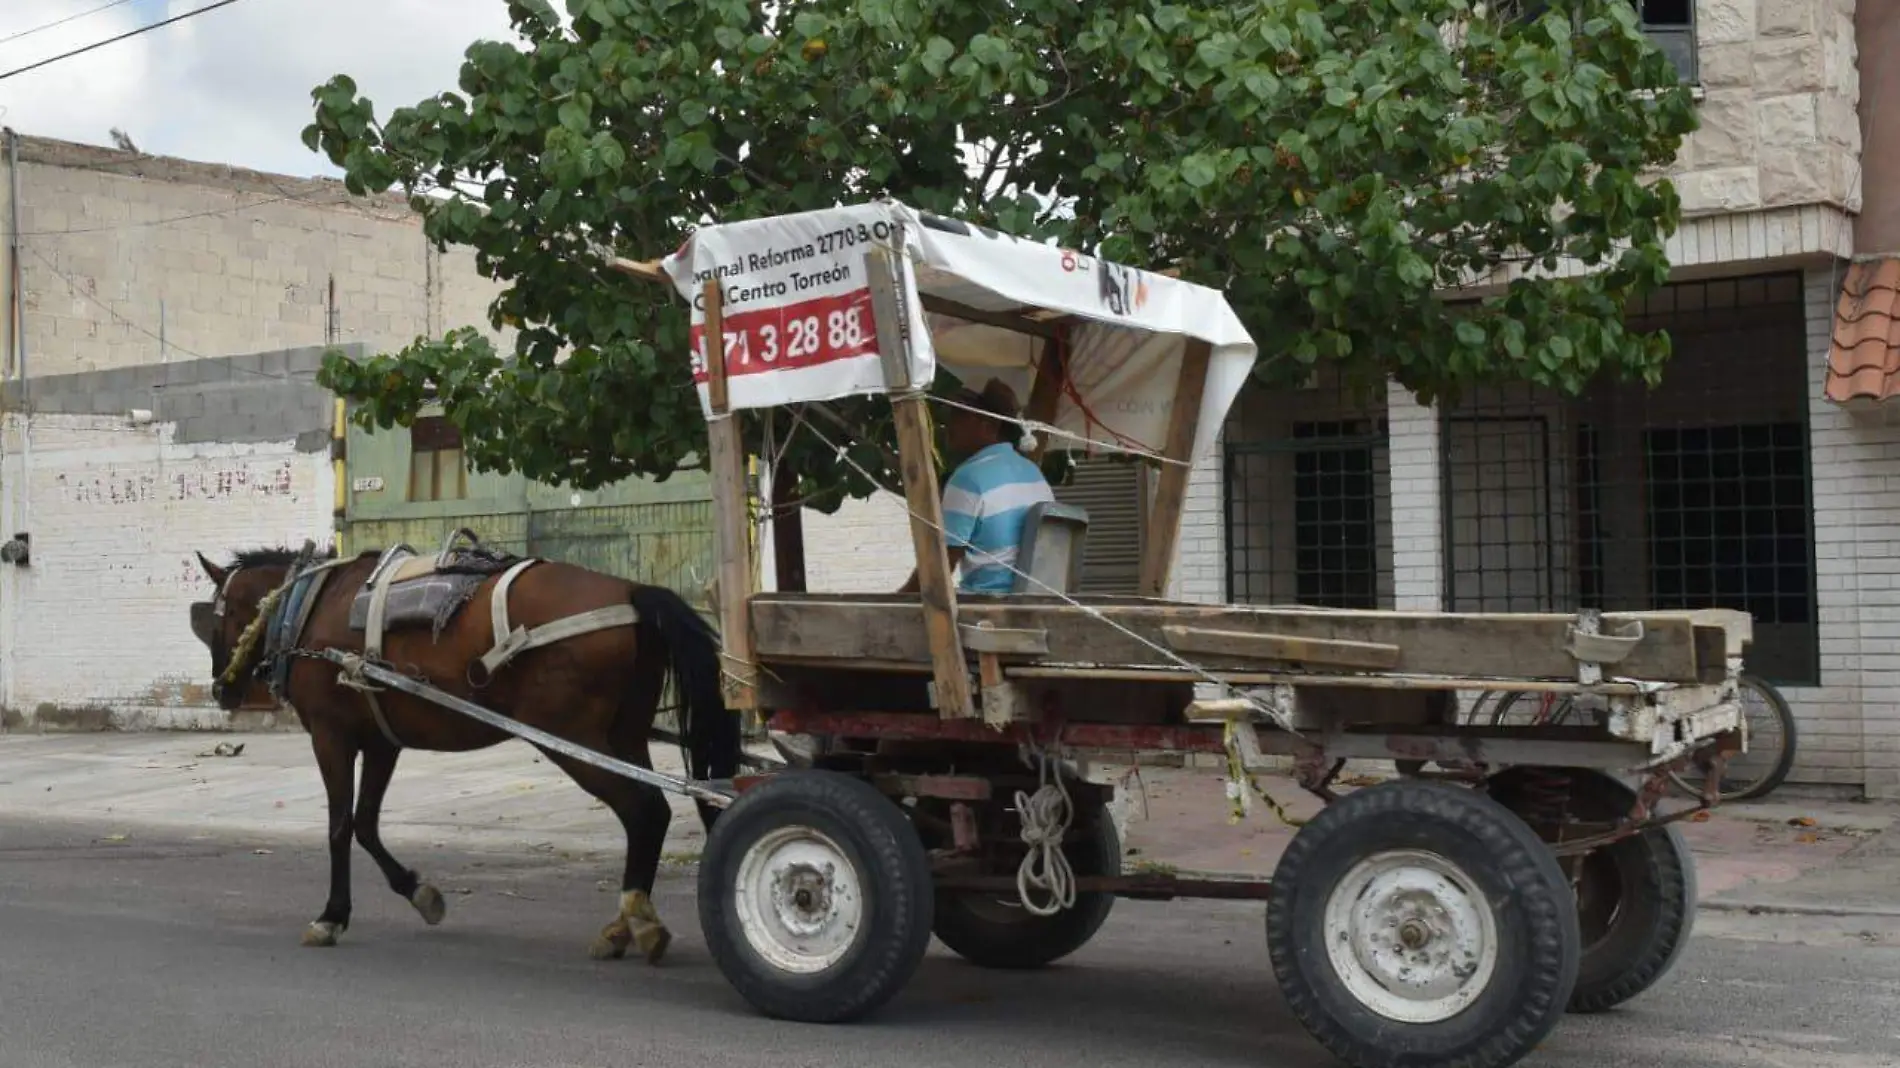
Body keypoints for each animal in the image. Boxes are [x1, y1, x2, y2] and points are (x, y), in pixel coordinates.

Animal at [181, 535, 737, 961]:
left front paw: (331, 917)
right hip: (622, 737)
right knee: (654, 811)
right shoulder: (381, 741)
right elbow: (366, 824)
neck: (311, 604)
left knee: (643, 811)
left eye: (217, 618)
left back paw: (637, 923)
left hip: (574, 739)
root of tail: (634, 590)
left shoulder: (330, 735)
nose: (221, 690)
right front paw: (420, 893)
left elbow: (339, 827)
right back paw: (625, 923)